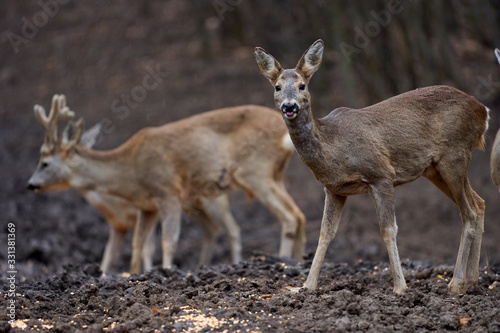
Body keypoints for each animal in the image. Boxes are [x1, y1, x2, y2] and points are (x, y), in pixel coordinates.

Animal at [29, 94, 306, 274]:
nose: (30, 185)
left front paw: (166, 272)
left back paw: (281, 261)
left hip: (255, 171)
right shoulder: (147, 206)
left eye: (44, 162)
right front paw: (134, 276)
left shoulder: (168, 192)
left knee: (287, 216)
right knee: (299, 214)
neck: (130, 171)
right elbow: (137, 244)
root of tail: (284, 134)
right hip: (273, 175)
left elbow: (167, 241)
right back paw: (298, 262)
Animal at [256, 39, 490, 294]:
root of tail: (483, 112)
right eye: (277, 87)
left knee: (468, 212)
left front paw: (400, 287)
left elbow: (388, 229)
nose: (289, 106)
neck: (333, 146)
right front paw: (306, 286)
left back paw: (456, 283)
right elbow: (325, 232)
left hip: (454, 156)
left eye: (302, 85)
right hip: (435, 169)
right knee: (479, 204)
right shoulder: (334, 189)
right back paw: (472, 280)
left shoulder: (381, 175)